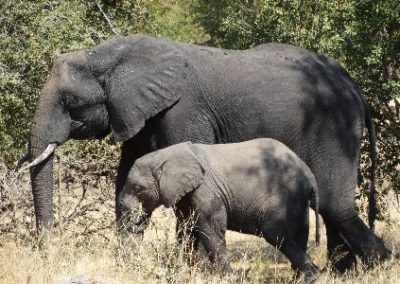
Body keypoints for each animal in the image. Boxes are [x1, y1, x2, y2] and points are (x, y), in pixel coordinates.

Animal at [120, 139, 320, 278]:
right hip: (297, 197)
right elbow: (187, 230)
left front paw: (227, 278)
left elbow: (211, 229)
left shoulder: (206, 189)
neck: (164, 154)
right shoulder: (186, 194)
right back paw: (301, 277)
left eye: (138, 189)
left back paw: (313, 275)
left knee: (274, 232)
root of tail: (309, 174)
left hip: (284, 191)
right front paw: (190, 273)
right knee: (299, 231)